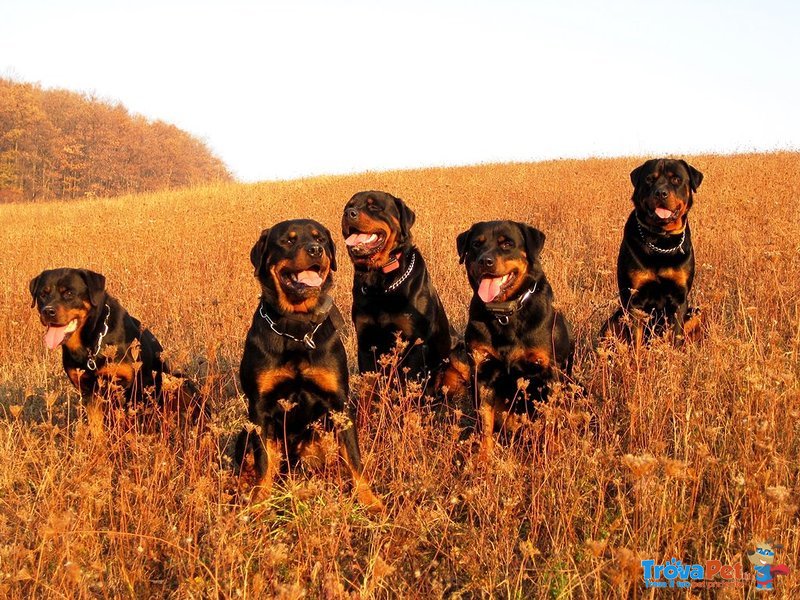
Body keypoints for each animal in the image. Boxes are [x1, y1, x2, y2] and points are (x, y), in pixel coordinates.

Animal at [236, 219, 382, 510]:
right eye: (288, 240)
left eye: (320, 239)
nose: (316, 250)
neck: (296, 327)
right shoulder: (259, 408)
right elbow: (263, 462)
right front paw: (260, 504)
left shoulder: (339, 404)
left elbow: (354, 458)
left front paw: (369, 500)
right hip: (244, 434)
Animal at [340, 190, 450, 382]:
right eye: (348, 206)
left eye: (374, 206)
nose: (348, 213)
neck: (379, 283)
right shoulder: (365, 343)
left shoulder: (414, 343)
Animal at [446, 221, 572, 454]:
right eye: (476, 244)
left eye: (507, 244)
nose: (485, 261)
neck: (504, 314)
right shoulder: (482, 373)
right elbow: (484, 425)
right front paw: (484, 457)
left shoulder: (550, 373)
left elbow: (551, 420)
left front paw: (551, 452)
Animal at [604, 158, 704, 346]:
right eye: (650, 179)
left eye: (676, 179)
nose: (661, 193)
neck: (661, 241)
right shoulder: (634, 301)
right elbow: (635, 342)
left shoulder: (679, 300)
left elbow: (675, 338)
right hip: (613, 320)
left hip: (696, 313)